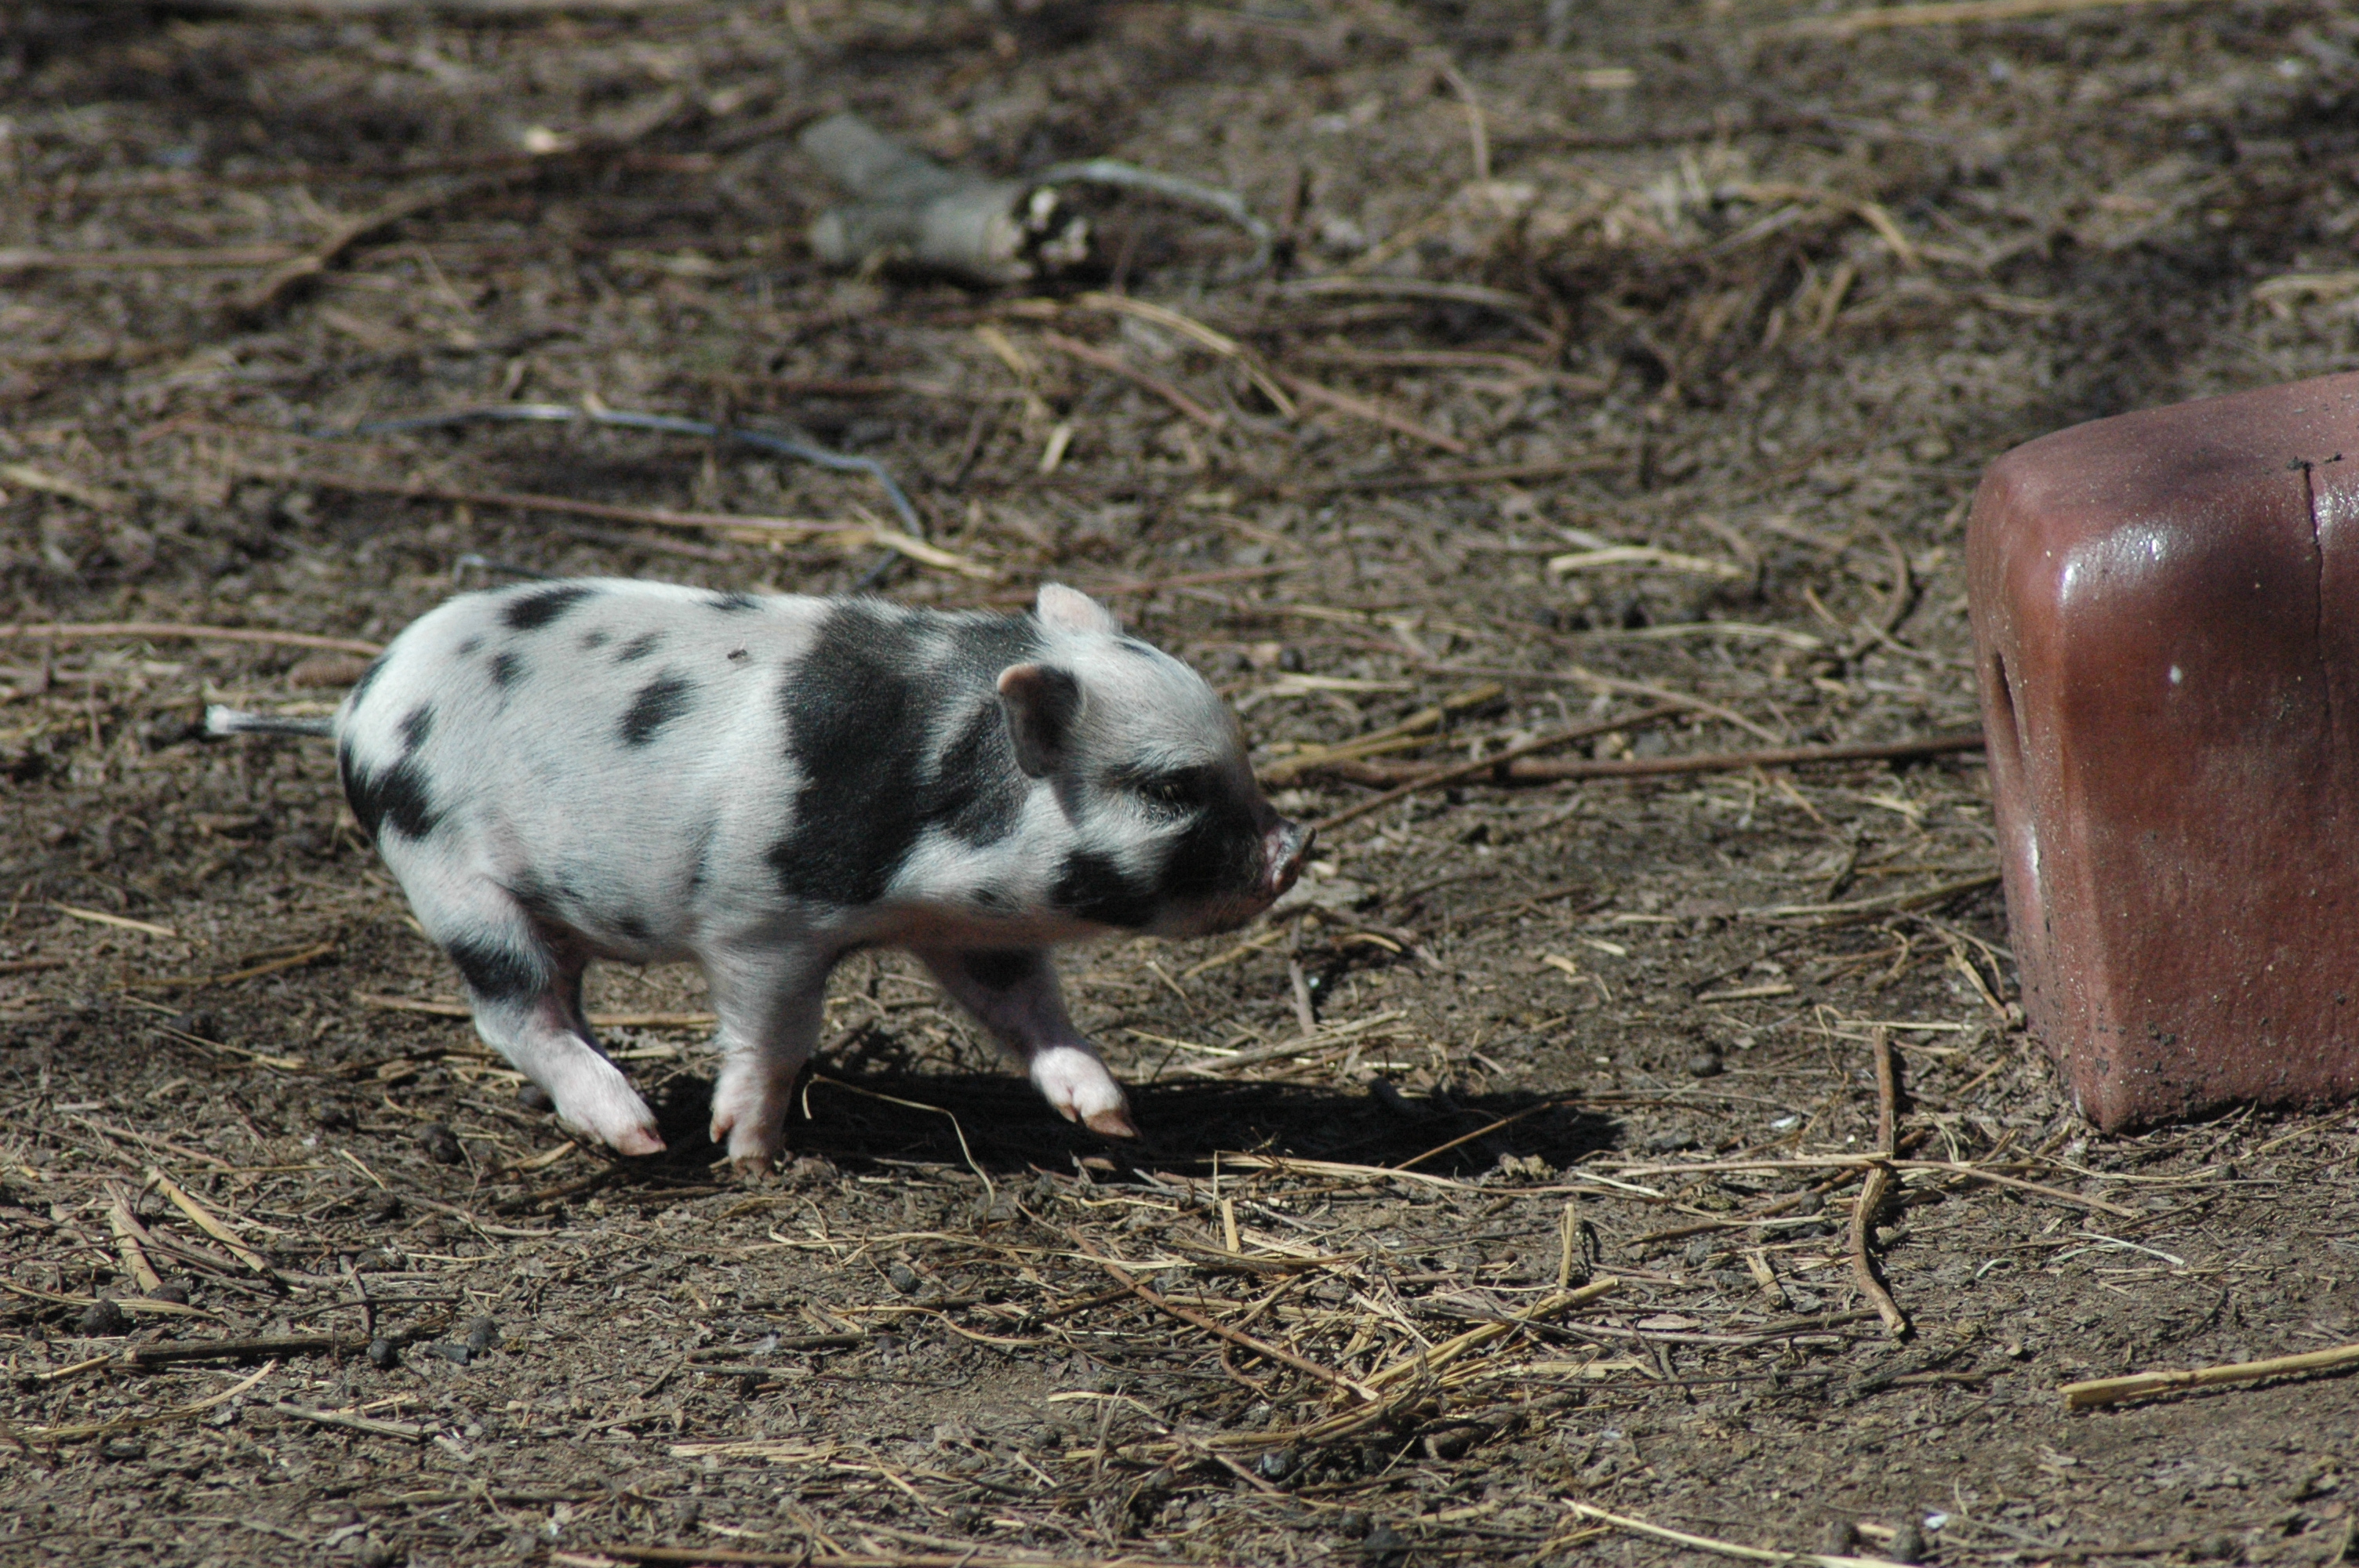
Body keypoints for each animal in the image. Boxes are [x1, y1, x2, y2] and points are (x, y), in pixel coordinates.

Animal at [205, 581, 1311, 1171]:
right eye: (1169, 787)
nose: (1292, 846)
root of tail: (355, 707)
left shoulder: (971, 929)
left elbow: (1028, 1012)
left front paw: (1112, 1116)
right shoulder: (758, 920)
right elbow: (774, 1037)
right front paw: (748, 1152)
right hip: (451, 878)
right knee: (512, 1009)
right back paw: (642, 1135)